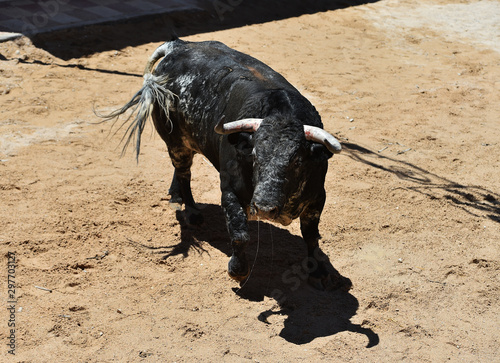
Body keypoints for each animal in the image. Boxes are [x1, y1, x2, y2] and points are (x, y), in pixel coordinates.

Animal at [102, 38, 352, 292]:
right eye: (254, 155)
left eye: (298, 161)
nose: (264, 209)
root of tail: (178, 45)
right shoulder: (230, 191)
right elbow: (239, 232)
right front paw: (238, 271)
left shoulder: (317, 196)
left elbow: (311, 235)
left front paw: (320, 272)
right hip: (174, 141)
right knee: (184, 172)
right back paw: (191, 211)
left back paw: (175, 195)